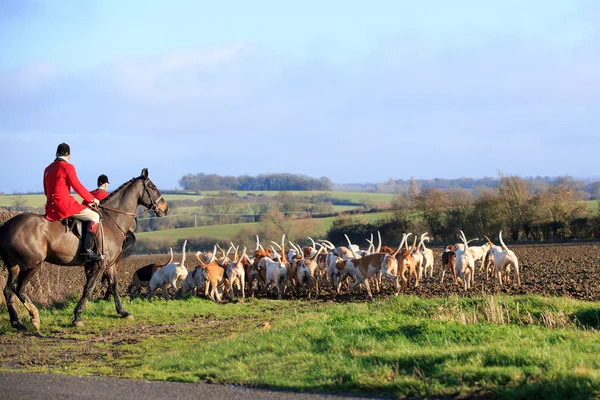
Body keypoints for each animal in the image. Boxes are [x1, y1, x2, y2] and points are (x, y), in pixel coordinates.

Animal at [0, 167, 168, 330]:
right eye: (153, 187)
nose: (165, 209)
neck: (112, 221)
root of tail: (6, 226)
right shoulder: (100, 264)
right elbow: (89, 287)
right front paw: (77, 316)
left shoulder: (110, 265)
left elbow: (114, 286)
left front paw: (123, 312)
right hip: (32, 265)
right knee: (18, 288)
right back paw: (34, 317)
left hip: (14, 266)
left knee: (8, 290)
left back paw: (17, 323)